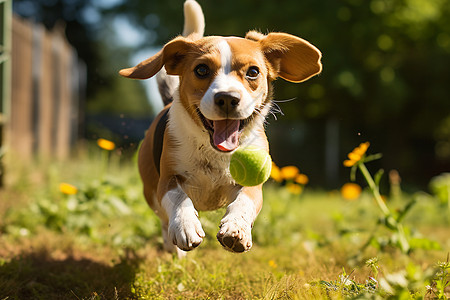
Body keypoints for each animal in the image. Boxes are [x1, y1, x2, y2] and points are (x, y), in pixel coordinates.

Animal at [121, 0, 322, 258]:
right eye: (201, 70)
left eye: (253, 72)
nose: (227, 98)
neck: (212, 150)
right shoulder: (167, 180)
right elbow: (178, 198)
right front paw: (185, 225)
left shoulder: (253, 185)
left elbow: (244, 201)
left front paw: (236, 228)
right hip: (150, 189)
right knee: (164, 220)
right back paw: (172, 246)